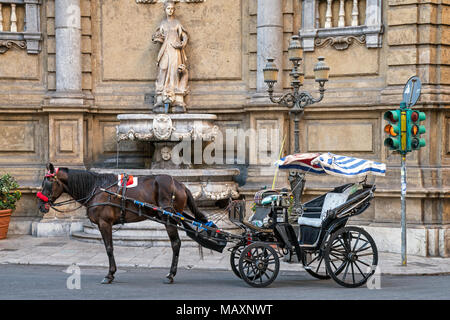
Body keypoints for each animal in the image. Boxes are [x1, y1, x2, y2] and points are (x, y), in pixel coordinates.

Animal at [36, 164, 209, 284]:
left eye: (48, 182)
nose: (40, 205)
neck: (96, 189)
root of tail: (180, 185)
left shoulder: (104, 223)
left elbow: (109, 248)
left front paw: (110, 274)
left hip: (169, 219)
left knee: (176, 243)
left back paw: (171, 274)